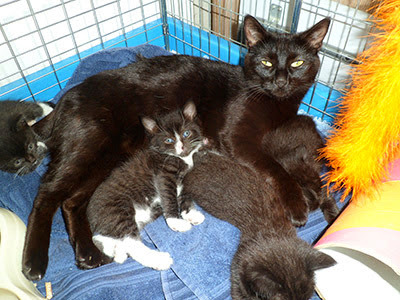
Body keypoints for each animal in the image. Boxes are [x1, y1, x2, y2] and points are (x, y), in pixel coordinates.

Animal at [86, 101, 205, 270]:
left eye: (186, 133)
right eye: (169, 140)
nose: (182, 147)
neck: (182, 158)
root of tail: (91, 219)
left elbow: (185, 194)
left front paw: (190, 213)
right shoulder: (163, 174)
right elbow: (169, 197)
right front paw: (175, 222)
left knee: (109, 240)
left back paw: (117, 252)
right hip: (118, 210)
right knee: (132, 244)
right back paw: (159, 260)